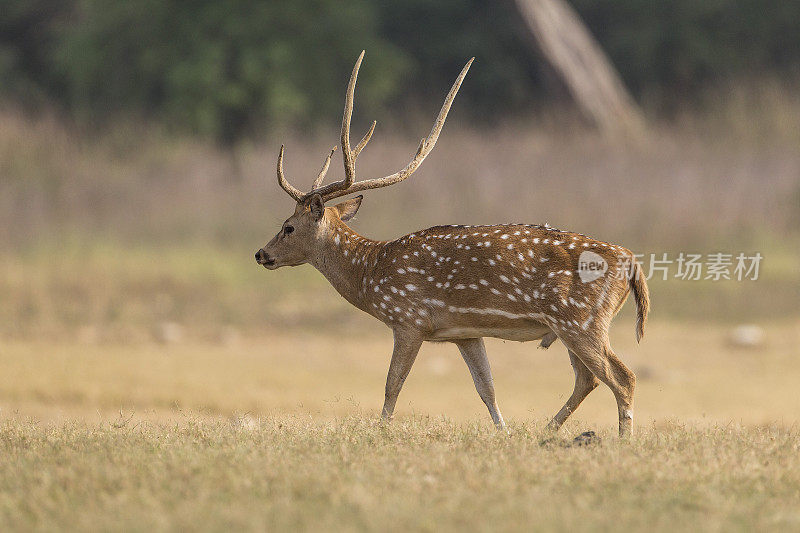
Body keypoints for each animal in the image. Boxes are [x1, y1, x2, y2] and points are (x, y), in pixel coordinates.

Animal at [256, 51, 648, 436]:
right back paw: (546, 431)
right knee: (588, 379)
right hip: (570, 325)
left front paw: (381, 431)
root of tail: (631, 263)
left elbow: (393, 383)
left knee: (622, 377)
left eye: (288, 227)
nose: (261, 253)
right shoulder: (465, 332)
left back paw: (621, 439)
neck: (370, 271)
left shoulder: (409, 318)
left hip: (580, 320)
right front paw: (503, 432)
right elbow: (486, 387)